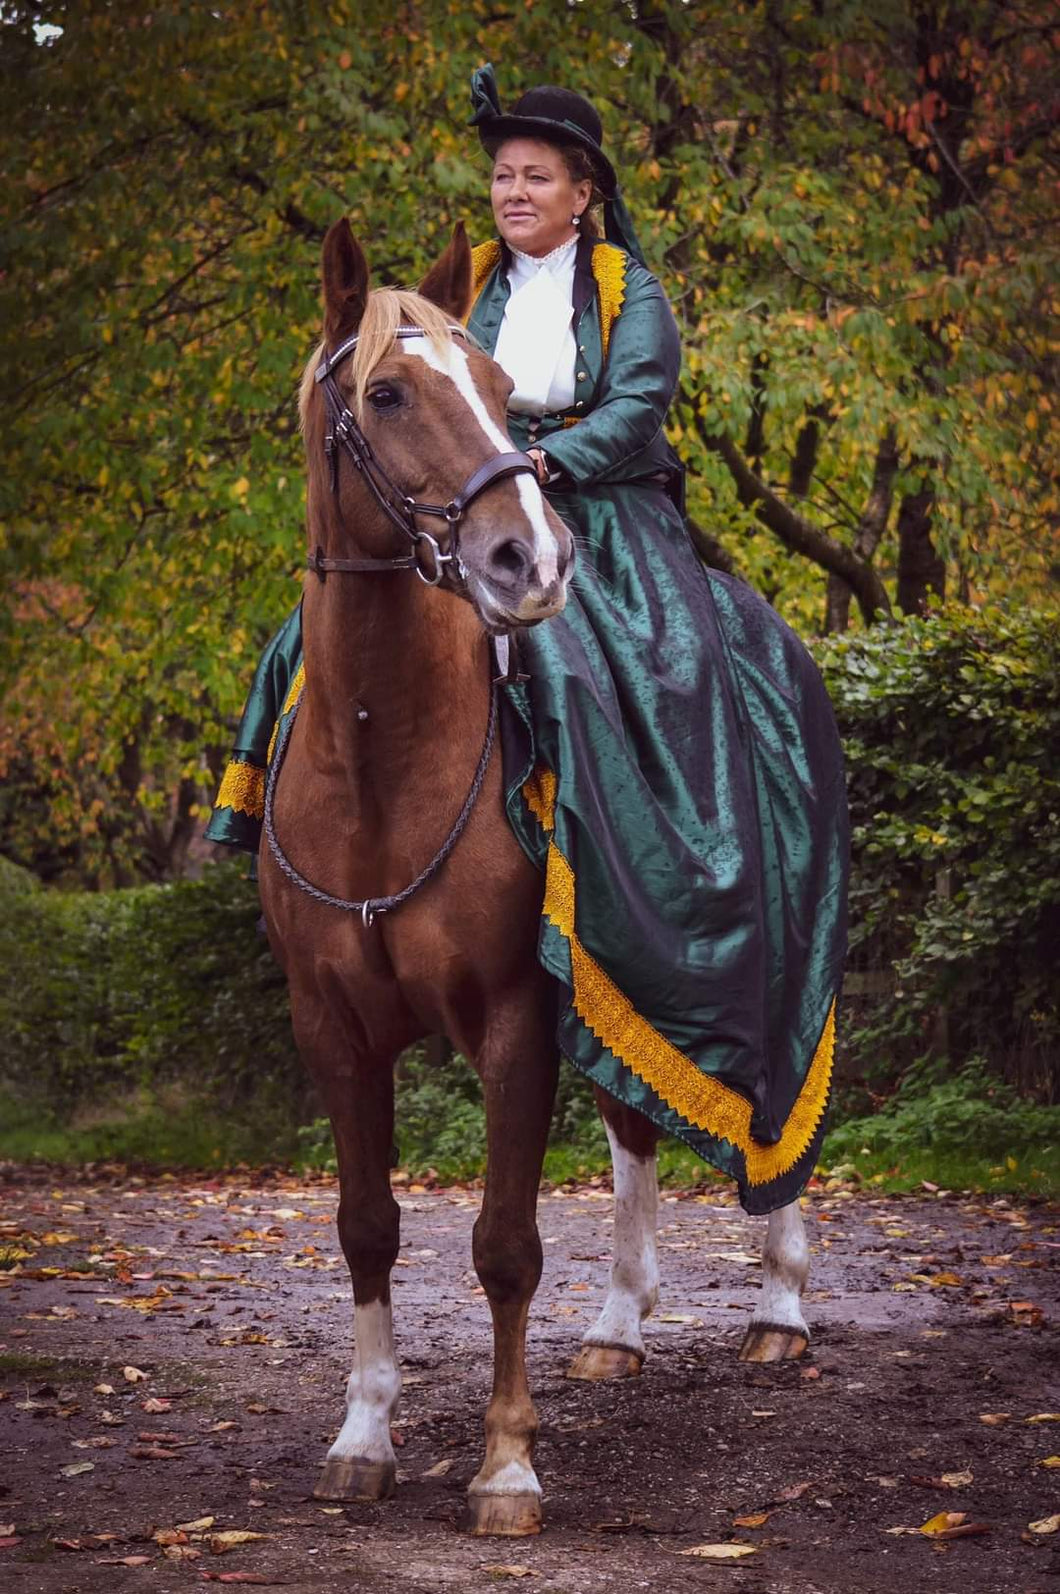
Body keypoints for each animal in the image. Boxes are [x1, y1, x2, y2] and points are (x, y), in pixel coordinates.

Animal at [256, 218, 809, 1536]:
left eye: (502, 390)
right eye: (386, 392)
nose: (530, 557)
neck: (380, 757)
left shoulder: (512, 1014)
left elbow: (504, 1242)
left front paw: (506, 1463)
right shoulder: (332, 1024)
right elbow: (366, 1228)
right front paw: (363, 1436)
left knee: (778, 1095)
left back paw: (780, 1305)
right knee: (635, 1121)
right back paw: (617, 1327)